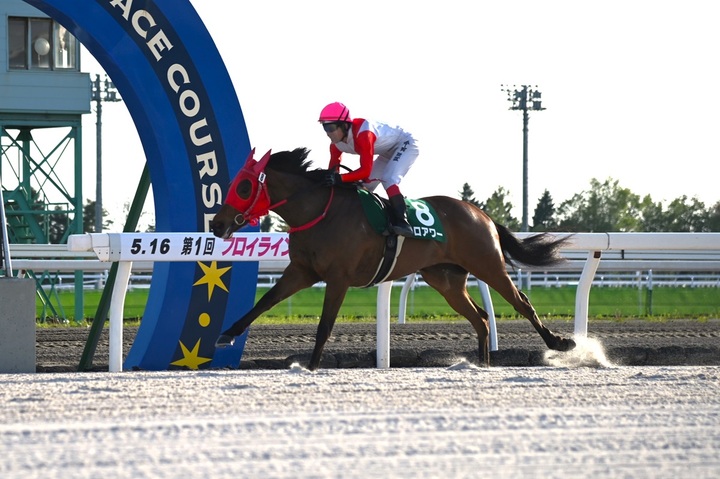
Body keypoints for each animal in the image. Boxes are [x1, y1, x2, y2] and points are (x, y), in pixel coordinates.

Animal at [210, 147, 576, 370]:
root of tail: (481, 214)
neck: (320, 212)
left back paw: (560, 343)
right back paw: (482, 365)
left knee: (521, 303)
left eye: (243, 187)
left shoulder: (338, 278)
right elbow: (265, 301)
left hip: (487, 265)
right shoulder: (301, 271)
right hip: (446, 280)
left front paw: (311, 367)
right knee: (482, 318)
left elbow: (325, 325)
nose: (217, 224)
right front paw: (227, 334)